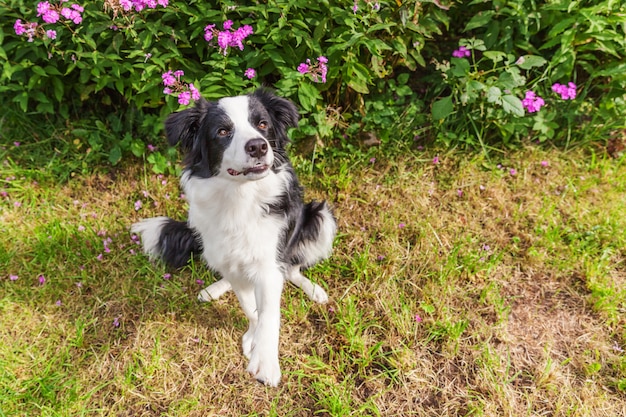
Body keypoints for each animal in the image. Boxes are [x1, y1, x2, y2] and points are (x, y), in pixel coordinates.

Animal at [130, 89, 336, 386]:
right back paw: (214, 289)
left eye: (262, 124)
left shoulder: (269, 265)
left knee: (293, 268)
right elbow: (250, 307)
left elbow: (269, 313)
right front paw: (253, 336)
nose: (258, 146)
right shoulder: (231, 262)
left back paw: (314, 289)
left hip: (319, 218)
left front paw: (265, 361)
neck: (240, 197)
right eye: (223, 131)